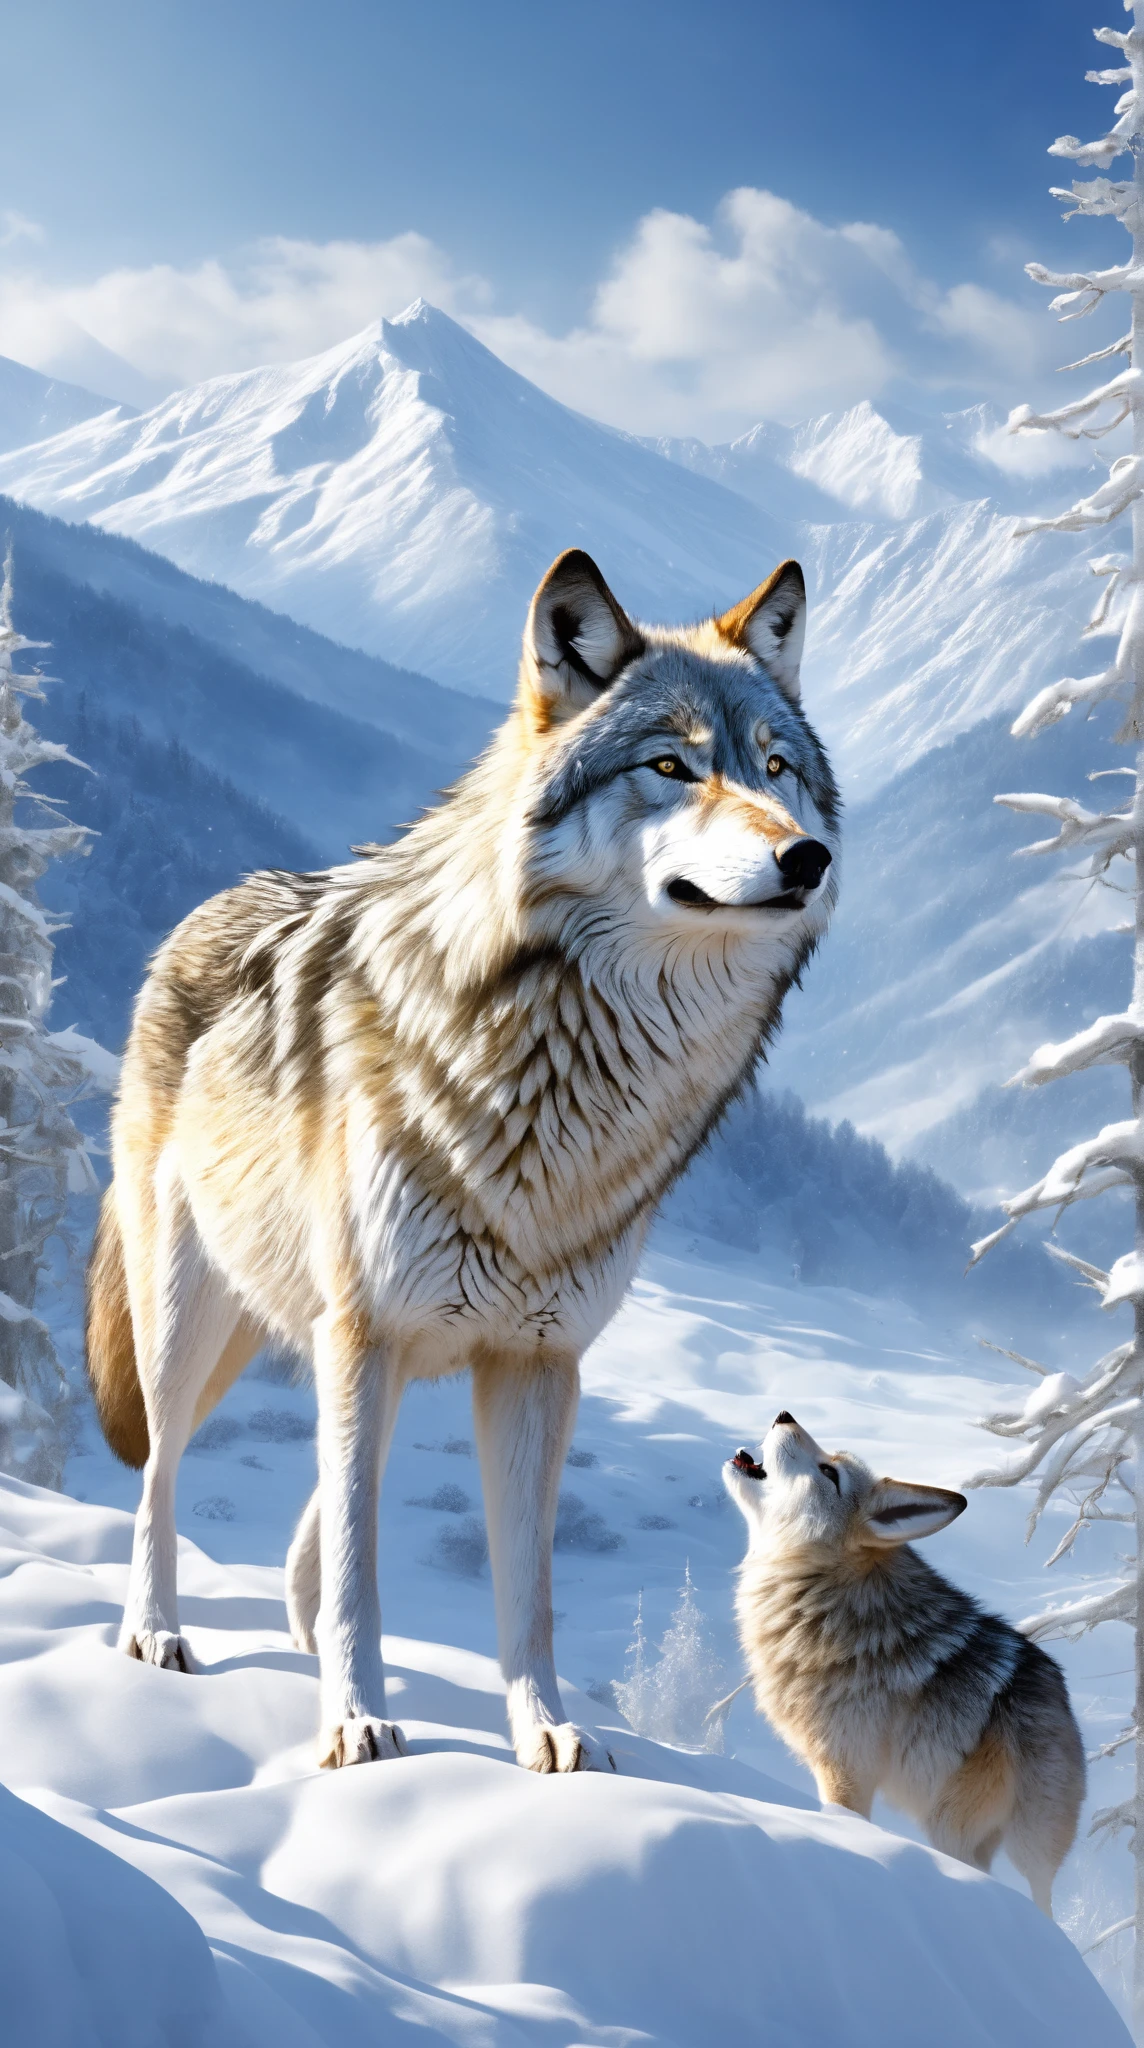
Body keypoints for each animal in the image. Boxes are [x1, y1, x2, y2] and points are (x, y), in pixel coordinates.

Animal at [86, 548, 838, 1775]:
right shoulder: (369, 1330)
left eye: (775, 769)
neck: (556, 1069)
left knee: (323, 1498)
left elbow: (523, 1589)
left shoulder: (536, 1361)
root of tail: (204, 905)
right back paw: (155, 1632)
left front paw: (550, 1734)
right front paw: (352, 1721)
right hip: (197, 1318)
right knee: (162, 1473)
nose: (805, 855)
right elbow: (360, 1562)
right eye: (670, 765)